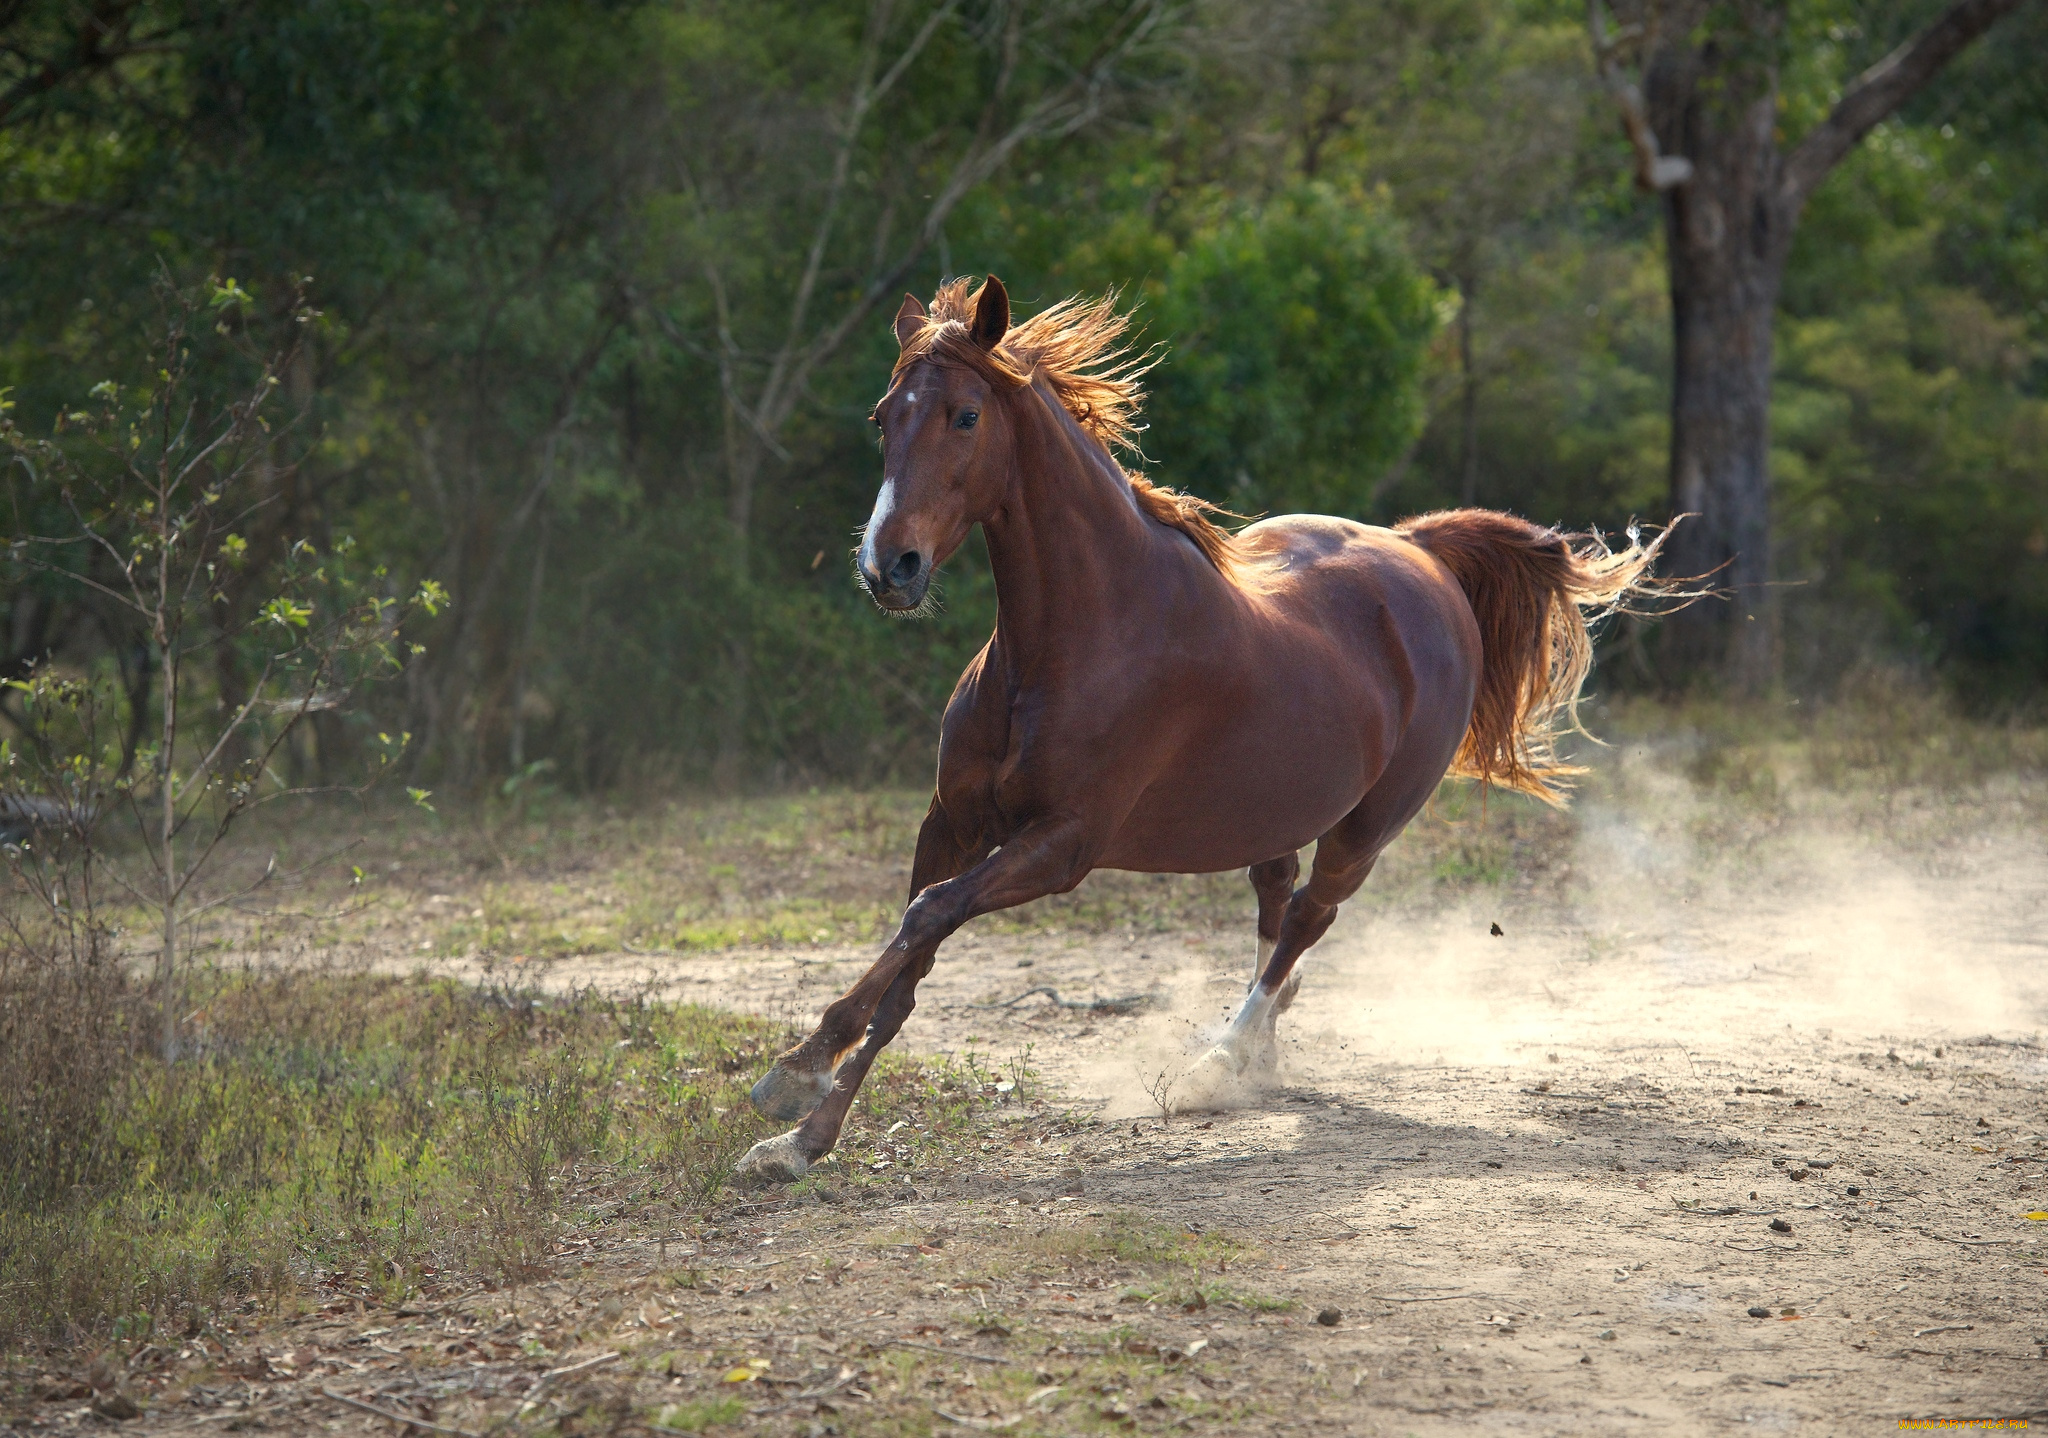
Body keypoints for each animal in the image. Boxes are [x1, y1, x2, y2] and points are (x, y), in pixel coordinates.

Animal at [737, 276, 1662, 1188]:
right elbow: (910, 960)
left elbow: (927, 918)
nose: (887, 567)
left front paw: (794, 1074)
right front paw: (804, 1138)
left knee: (1307, 918)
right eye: (882, 416)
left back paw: (1221, 1059)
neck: (1081, 636)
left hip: (1366, 829)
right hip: (1275, 812)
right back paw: (1259, 1056)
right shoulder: (952, 823)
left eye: (965, 415)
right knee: (1275, 909)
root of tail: (1420, 552)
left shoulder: (1063, 845)